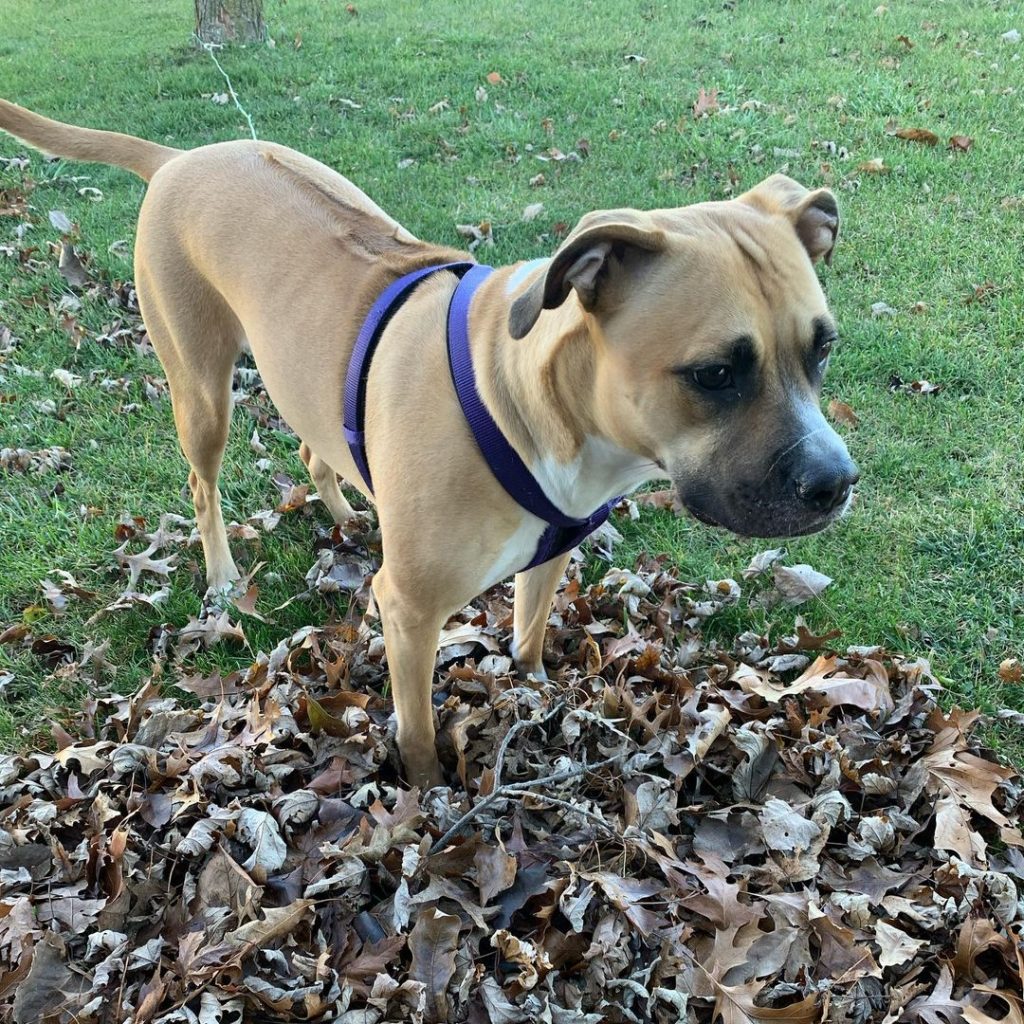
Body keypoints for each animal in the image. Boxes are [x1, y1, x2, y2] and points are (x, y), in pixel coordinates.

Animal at [0, 101, 856, 782]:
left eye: (823, 348)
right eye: (714, 374)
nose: (836, 483)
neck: (527, 405)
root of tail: (179, 159)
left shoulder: (548, 558)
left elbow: (529, 637)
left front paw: (536, 696)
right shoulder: (409, 612)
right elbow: (414, 727)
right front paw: (424, 792)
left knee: (313, 447)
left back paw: (347, 515)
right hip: (201, 388)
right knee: (203, 484)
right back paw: (220, 574)